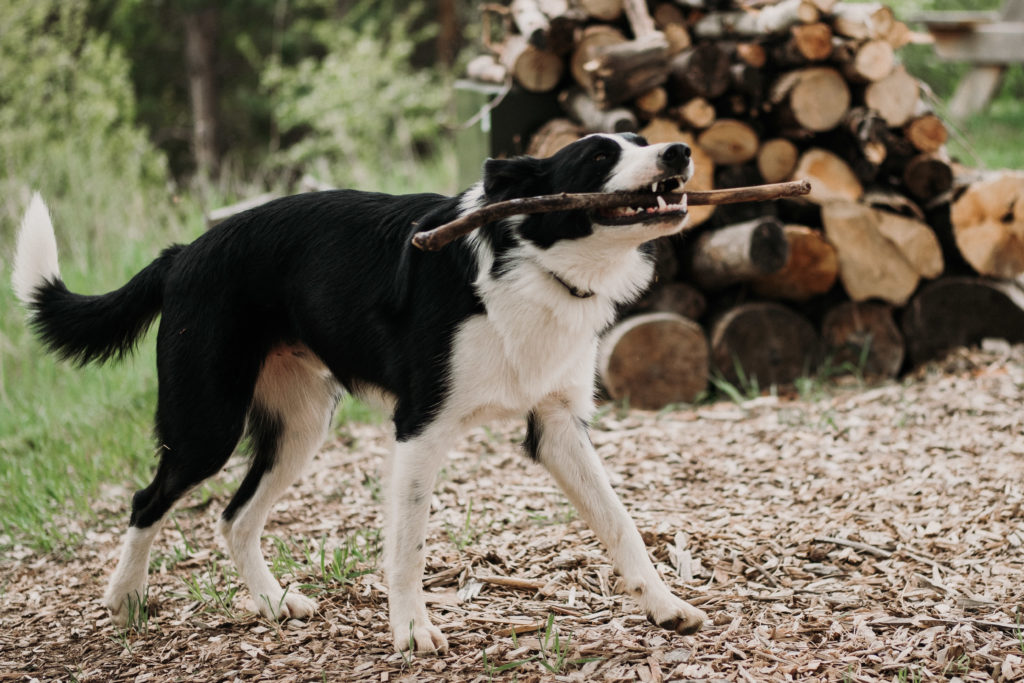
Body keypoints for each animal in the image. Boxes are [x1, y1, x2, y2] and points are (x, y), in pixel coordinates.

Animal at [14, 133, 704, 651]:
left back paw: (272, 602)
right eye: (600, 157)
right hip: (207, 425)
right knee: (147, 500)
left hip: (300, 428)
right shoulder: (420, 429)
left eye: (641, 137)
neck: (532, 263)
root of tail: (183, 253)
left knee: (234, 516)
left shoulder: (559, 428)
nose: (679, 151)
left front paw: (665, 606)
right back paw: (124, 597)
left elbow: (620, 523)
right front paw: (413, 631)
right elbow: (408, 545)